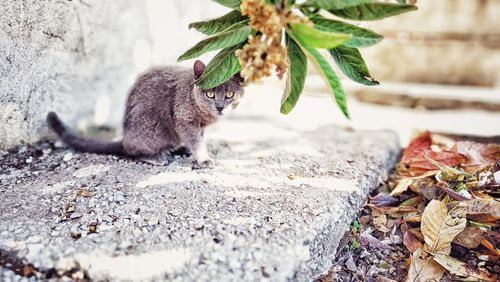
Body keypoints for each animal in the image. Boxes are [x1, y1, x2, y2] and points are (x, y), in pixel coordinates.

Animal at [47, 60, 244, 167]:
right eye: (210, 94)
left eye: (229, 95)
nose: (220, 107)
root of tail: (125, 138)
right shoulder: (184, 121)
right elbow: (196, 141)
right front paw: (203, 158)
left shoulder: (199, 127)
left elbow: (199, 138)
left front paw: (195, 152)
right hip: (151, 130)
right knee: (132, 151)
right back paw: (157, 156)